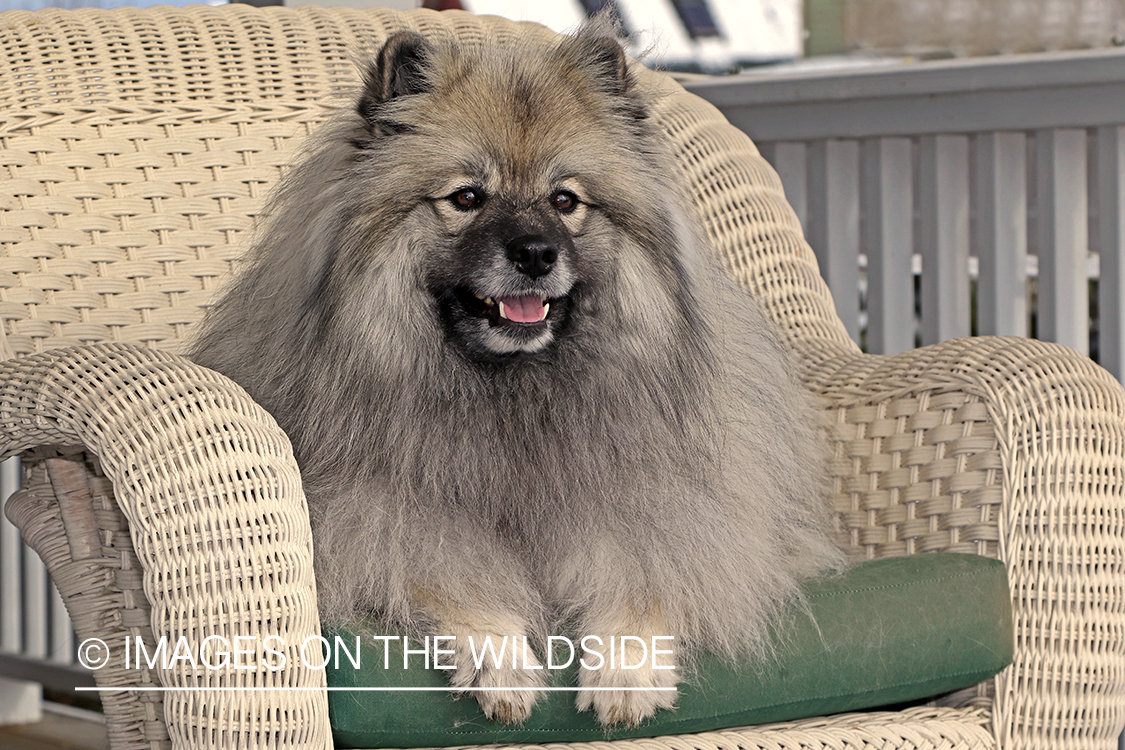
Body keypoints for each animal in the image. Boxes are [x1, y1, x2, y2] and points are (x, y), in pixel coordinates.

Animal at [191, 22, 846, 728]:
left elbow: (646, 573)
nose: (535, 253)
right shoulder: (378, 521)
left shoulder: (669, 508)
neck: (516, 392)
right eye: (466, 198)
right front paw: (501, 658)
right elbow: (451, 575)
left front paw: (627, 668)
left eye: (565, 201)